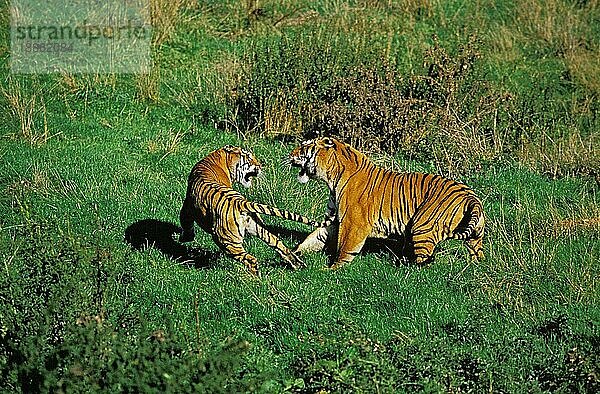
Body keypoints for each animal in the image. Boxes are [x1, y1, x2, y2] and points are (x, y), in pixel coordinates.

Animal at [179, 143, 328, 276]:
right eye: (249, 158)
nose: (260, 166)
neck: (217, 159)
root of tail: (240, 202)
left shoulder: (186, 206)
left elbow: (186, 223)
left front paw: (185, 239)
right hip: (259, 228)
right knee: (279, 244)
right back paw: (298, 265)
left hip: (227, 241)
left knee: (250, 259)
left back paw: (255, 279)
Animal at [288, 137, 486, 270]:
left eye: (304, 147)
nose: (290, 154)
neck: (331, 178)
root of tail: (471, 198)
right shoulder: (335, 220)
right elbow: (316, 237)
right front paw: (295, 252)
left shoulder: (354, 222)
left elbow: (345, 247)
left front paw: (331, 269)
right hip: (475, 235)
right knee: (477, 252)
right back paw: (476, 266)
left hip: (422, 227)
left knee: (424, 262)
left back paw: (406, 268)